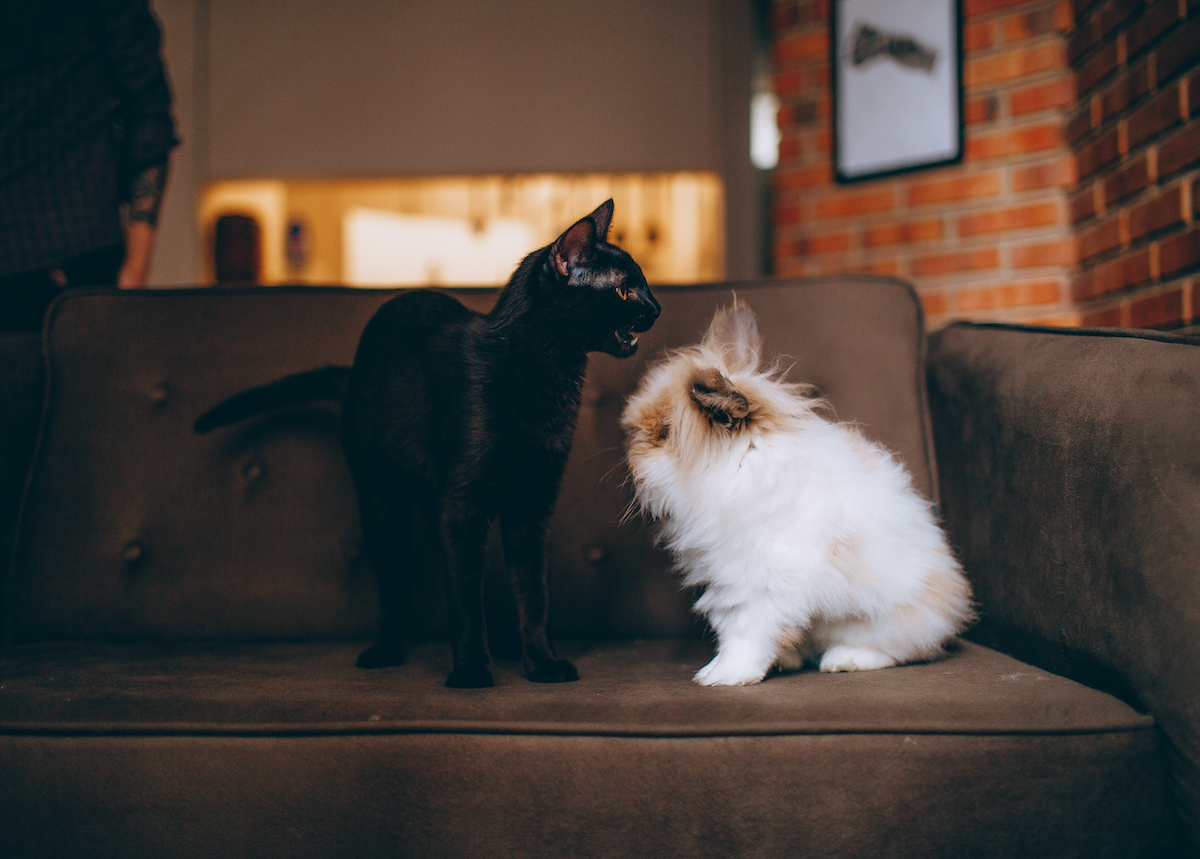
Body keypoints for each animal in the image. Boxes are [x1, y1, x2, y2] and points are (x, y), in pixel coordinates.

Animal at [193, 199, 662, 686]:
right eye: (625, 291)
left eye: (641, 285)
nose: (657, 307)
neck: (546, 377)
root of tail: (353, 374)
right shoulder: (461, 507)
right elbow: (463, 602)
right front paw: (471, 671)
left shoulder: (531, 505)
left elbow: (533, 595)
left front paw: (542, 662)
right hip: (382, 504)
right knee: (397, 588)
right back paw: (385, 650)